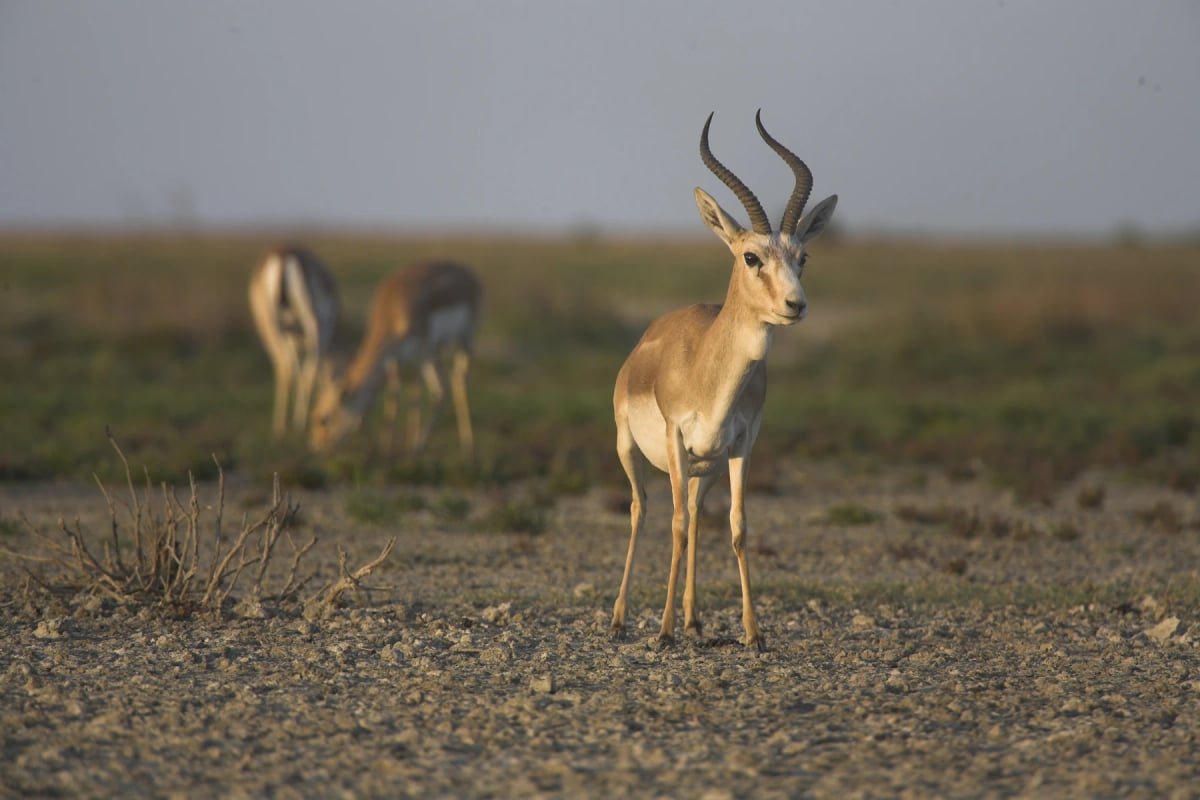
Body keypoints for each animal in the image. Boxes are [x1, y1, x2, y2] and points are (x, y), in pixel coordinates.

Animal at [248, 245, 340, 438]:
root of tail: (283, 255)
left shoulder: (292, 338)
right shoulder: (325, 332)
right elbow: (315, 370)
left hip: (271, 326)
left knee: (286, 368)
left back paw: (280, 427)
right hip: (311, 323)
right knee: (305, 370)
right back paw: (299, 423)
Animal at [309, 261, 481, 458]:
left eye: (323, 419)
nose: (315, 448)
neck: (393, 307)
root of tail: (471, 275)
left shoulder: (418, 352)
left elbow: (415, 394)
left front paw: (408, 448)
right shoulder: (394, 358)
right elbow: (394, 392)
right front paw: (387, 447)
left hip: (462, 342)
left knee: (459, 381)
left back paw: (467, 448)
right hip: (434, 353)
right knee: (442, 389)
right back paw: (422, 443)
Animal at [610, 111, 838, 650]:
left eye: (802, 258)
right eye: (751, 257)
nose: (795, 305)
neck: (708, 369)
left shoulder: (741, 446)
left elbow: (736, 526)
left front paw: (753, 632)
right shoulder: (675, 438)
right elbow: (672, 527)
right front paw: (663, 630)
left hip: (704, 469)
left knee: (695, 514)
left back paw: (694, 619)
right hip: (632, 450)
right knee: (642, 510)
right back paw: (620, 618)